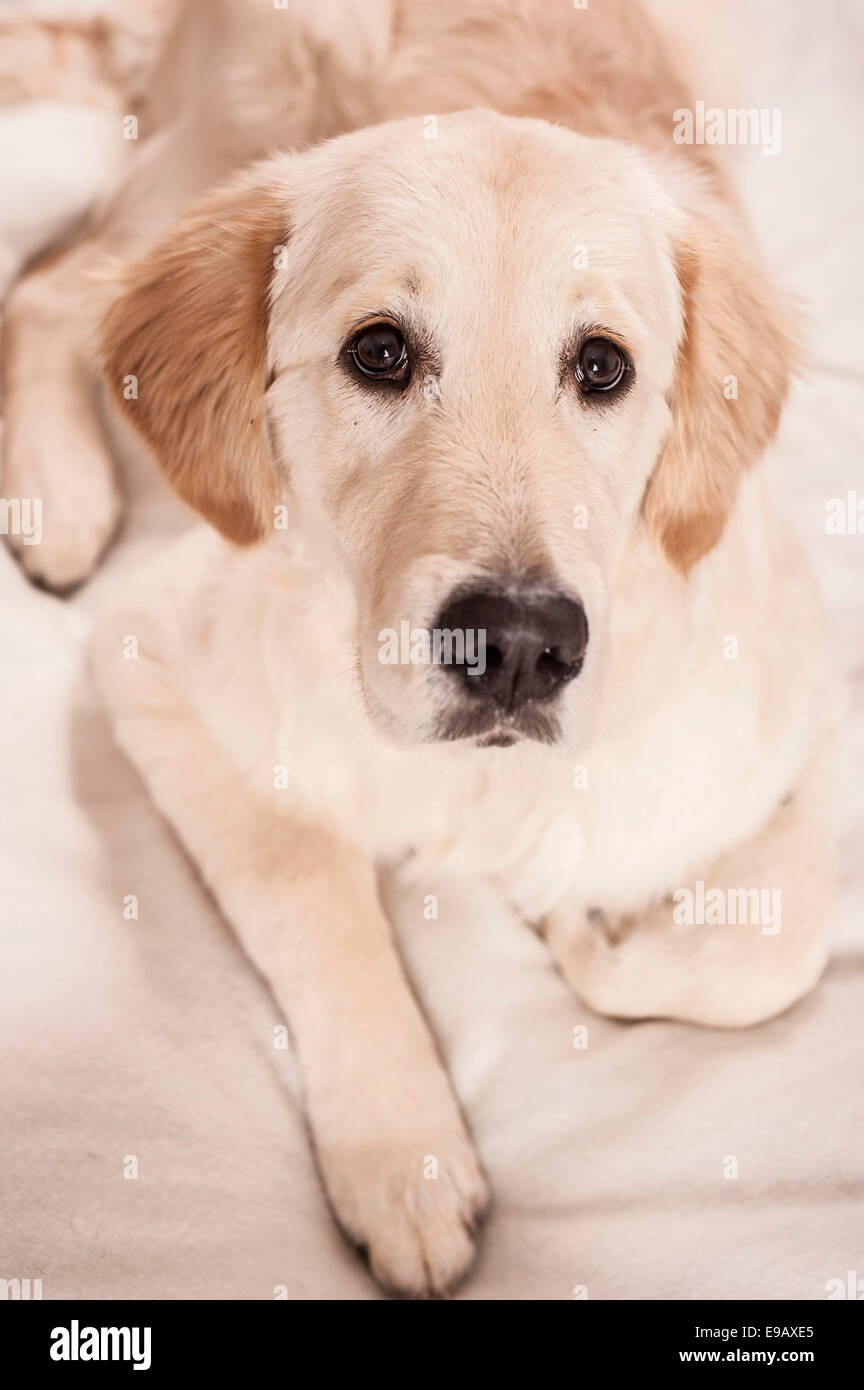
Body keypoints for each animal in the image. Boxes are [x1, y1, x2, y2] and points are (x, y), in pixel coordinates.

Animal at [3, 2, 838, 1301]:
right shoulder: (152, 659)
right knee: (53, 292)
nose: (519, 649)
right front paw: (405, 1159)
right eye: (381, 353)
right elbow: (314, 889)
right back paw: (63, 494)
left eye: (603, 366)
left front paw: (602, 941)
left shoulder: (805, 704)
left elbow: (779, 950)